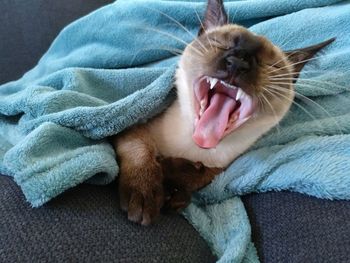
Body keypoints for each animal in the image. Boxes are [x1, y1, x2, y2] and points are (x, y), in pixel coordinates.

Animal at [112, 0, 334, 227]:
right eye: (222, 44)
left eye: (270, 65)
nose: (239, 62)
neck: (192, 147)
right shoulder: (131, 123)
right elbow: (140, 147)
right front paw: (144, 196)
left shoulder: (223, 164)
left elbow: (203, 174)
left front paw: (173, 189)